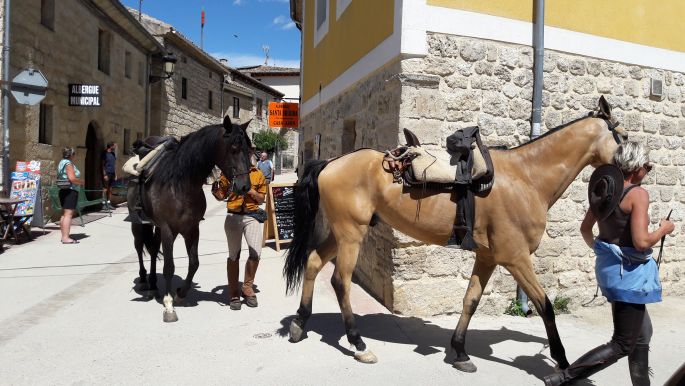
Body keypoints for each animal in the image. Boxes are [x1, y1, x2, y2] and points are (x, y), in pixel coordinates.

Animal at [130, 116, 252, 322]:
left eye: (249, 149)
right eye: (234, 148)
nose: (245, 187)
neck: (180, 184)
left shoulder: (192, 229)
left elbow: (194, 263)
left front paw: (181, 294)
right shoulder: (167, 230)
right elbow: (169, 266)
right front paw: (169, 305)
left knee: (153, 250)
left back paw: (154, 285)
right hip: (138, 225)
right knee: (139, 248)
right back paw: (145, 279)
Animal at [282, 95, 624, 370]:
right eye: (622, 135)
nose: (635, 168)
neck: (527, 177)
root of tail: (331, 162)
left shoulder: (488, 258)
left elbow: (470, 300)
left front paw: (459, 352)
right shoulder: (515, 259)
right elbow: (545, 306)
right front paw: (562, 361)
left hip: (340, 232)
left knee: (313, 263)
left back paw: (300, 323)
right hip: (351, 234)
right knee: (341, 282)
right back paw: (358, 343)